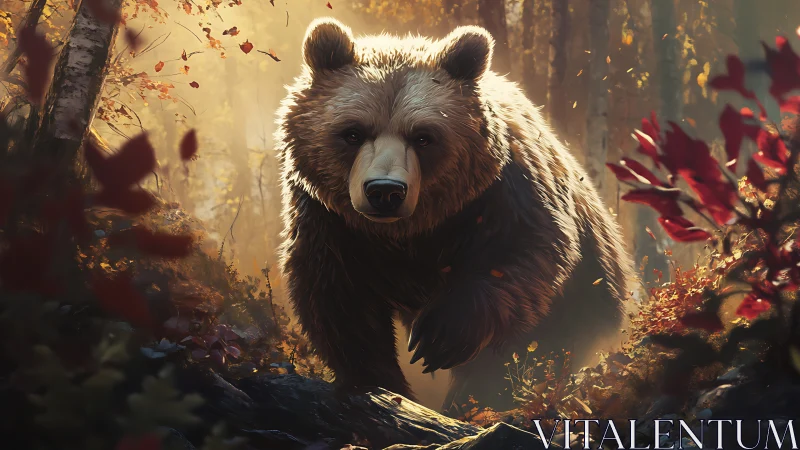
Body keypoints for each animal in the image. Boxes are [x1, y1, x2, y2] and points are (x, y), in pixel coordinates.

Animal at [274, 17, 633, 413]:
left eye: (424, 136)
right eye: (352, 132)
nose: (385, 191)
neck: (412, 228)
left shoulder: (503, 193)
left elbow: (522, 256)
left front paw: (439, 337)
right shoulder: (329, 220)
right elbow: (338, 296)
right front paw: (381, 383)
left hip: (592, 288)